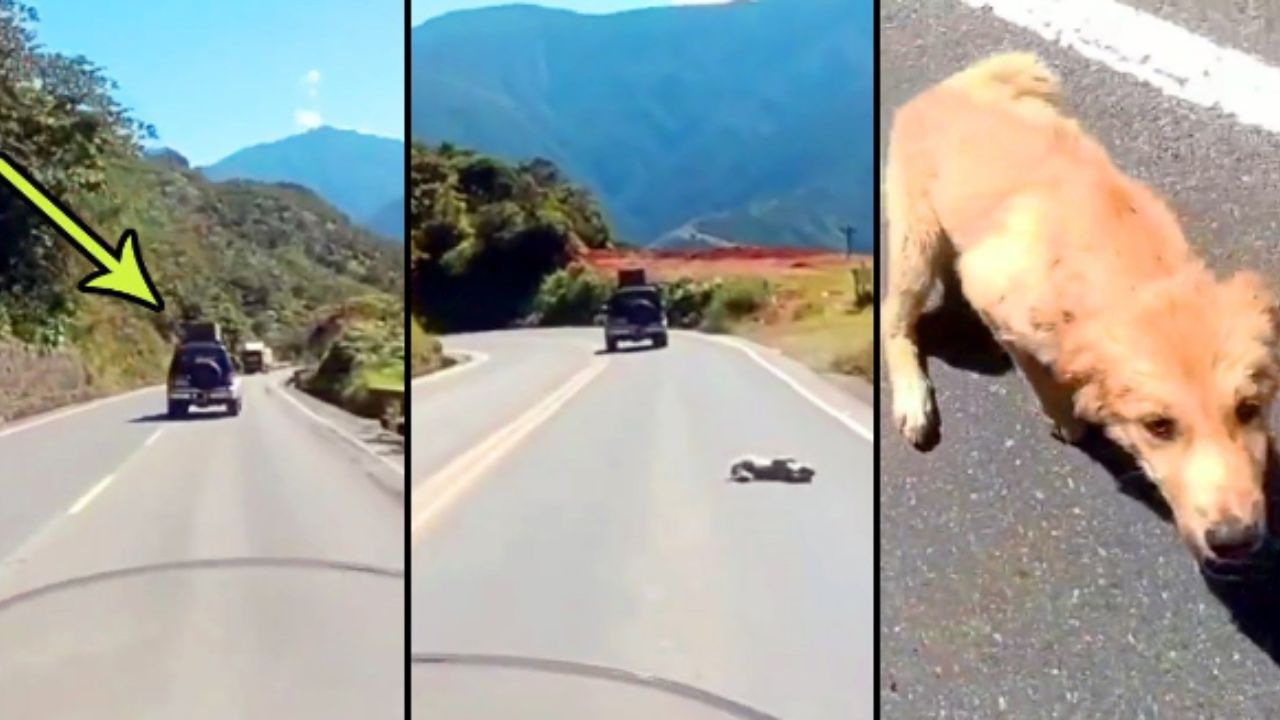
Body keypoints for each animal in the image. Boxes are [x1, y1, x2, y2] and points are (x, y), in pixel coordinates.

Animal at [885, 50, 1274, 568]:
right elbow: (1043, 377)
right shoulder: (995, 292)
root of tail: (945, 88)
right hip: (915, 242)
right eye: (1159, 426)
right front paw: (1066, 419)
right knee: (894, 319)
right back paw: (913, 399)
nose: (1236, 543)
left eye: (1249, 409)